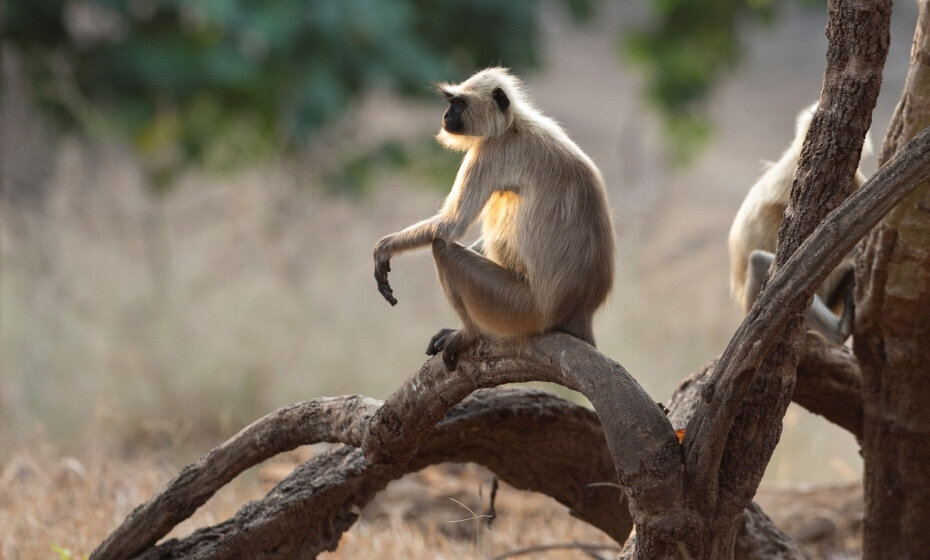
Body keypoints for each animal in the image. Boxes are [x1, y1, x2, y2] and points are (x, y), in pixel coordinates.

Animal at [370, 66, 616, 372]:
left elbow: (450, 226)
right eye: (450, 103)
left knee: (442, 248)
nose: (446, 116)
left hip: (520, 307)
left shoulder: (490, 152)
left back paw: (470, 333)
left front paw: (383, 249)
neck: (511, 126)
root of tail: (579, 309)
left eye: (458, 104)